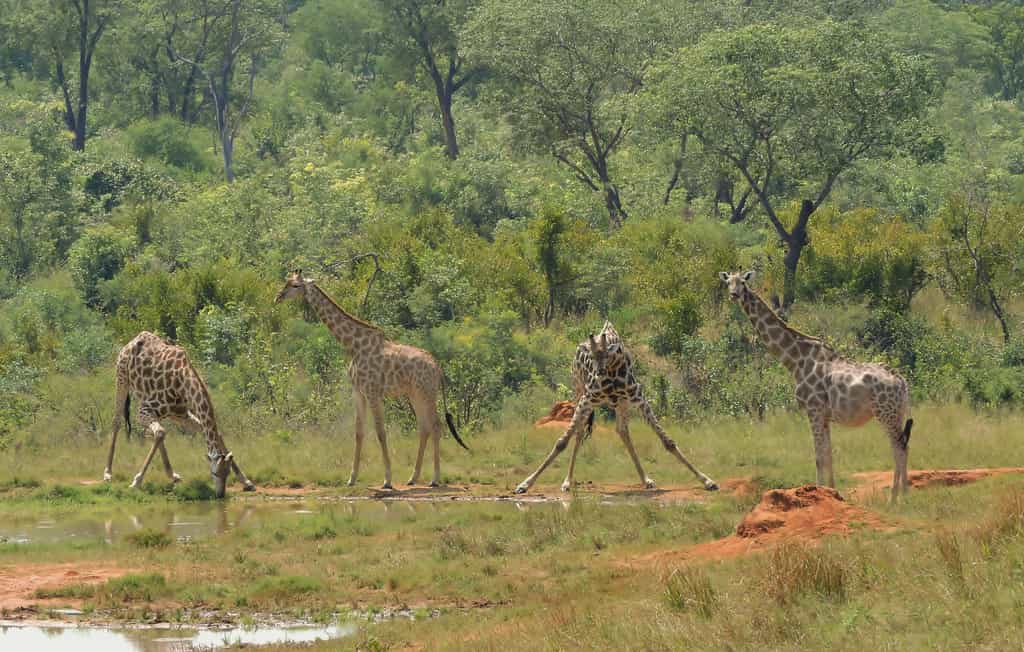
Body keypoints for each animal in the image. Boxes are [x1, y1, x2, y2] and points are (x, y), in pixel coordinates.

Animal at [103, 331, 255, 498]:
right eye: (215, 473)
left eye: (227, 473)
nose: (220, 495)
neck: (183, 384)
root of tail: (134, 339)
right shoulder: (144, 410)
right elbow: (160, 432)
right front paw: (136, 482)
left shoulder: (182, 414)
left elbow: (216, 433)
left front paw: (247, 482)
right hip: (122, 377)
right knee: (117, 420)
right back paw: (107, 473)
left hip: (165, 412)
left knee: (157, 433)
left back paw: (173, 475)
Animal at [275, 270, 469, 489]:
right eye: (287, 282)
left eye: (295, 285)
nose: (278, 297)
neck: (353, 346)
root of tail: (438, 367)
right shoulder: (358, 392)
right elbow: (359, 433)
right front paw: (351, 478)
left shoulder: (373, 392)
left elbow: (380, 432)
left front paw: (387, 480)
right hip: (415, 394)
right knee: (424, 428)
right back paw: (413, 478)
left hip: (428, 393)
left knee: (436, 426)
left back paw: (435, 479)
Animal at [514, 321, 718, 494]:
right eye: (592, 357)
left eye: (607, 355)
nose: (599, 372)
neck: (613, 371)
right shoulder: (587, 399)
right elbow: (561, 442)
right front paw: (525, 484)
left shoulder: (638, 398)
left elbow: (667, 441)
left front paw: (707, 481)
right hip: (578, 390)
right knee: (579, 432)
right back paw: (567, 482)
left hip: (621, 403)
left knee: (622, 430)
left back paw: (646, 480)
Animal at [719, 271, 913, 498]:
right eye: (728, 282)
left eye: (742, 282)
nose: (734, 295)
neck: (795, 360)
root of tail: (901, 381)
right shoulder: (825, 416)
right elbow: (828, 454)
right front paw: (832, 491)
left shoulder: (813, 410)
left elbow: (818, 456)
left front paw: (817, 491)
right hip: (896, 413)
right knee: (903, 445)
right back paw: (901, 494)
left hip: (885, 413)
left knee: (898, 447)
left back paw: (897, 497)